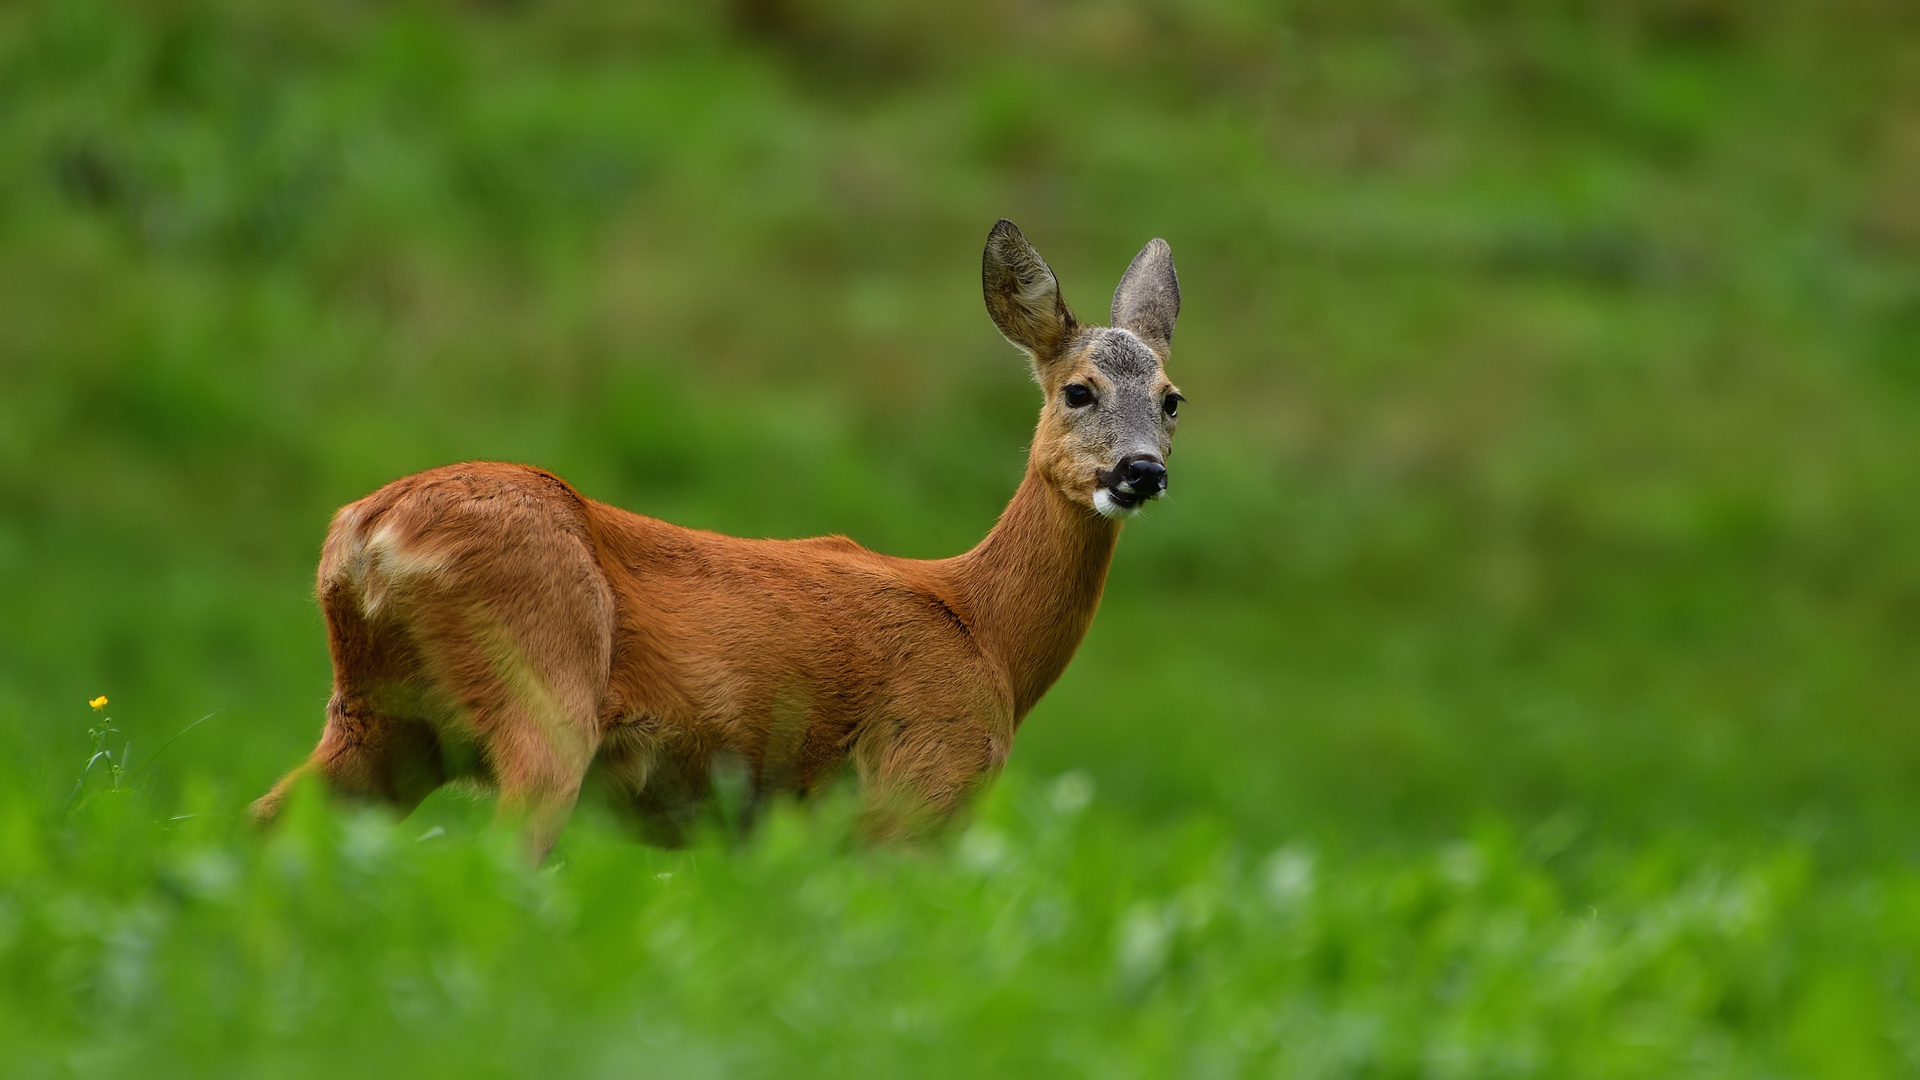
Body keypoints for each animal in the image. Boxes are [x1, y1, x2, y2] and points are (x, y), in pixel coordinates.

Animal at [255, 219, 1182, 857]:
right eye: (1078, 390)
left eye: (1172, 398)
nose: (1141, 471)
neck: (987, 632)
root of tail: (364, 535)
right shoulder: (920, 778)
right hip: (541, 688)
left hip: (380, 719)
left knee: (264, 820)